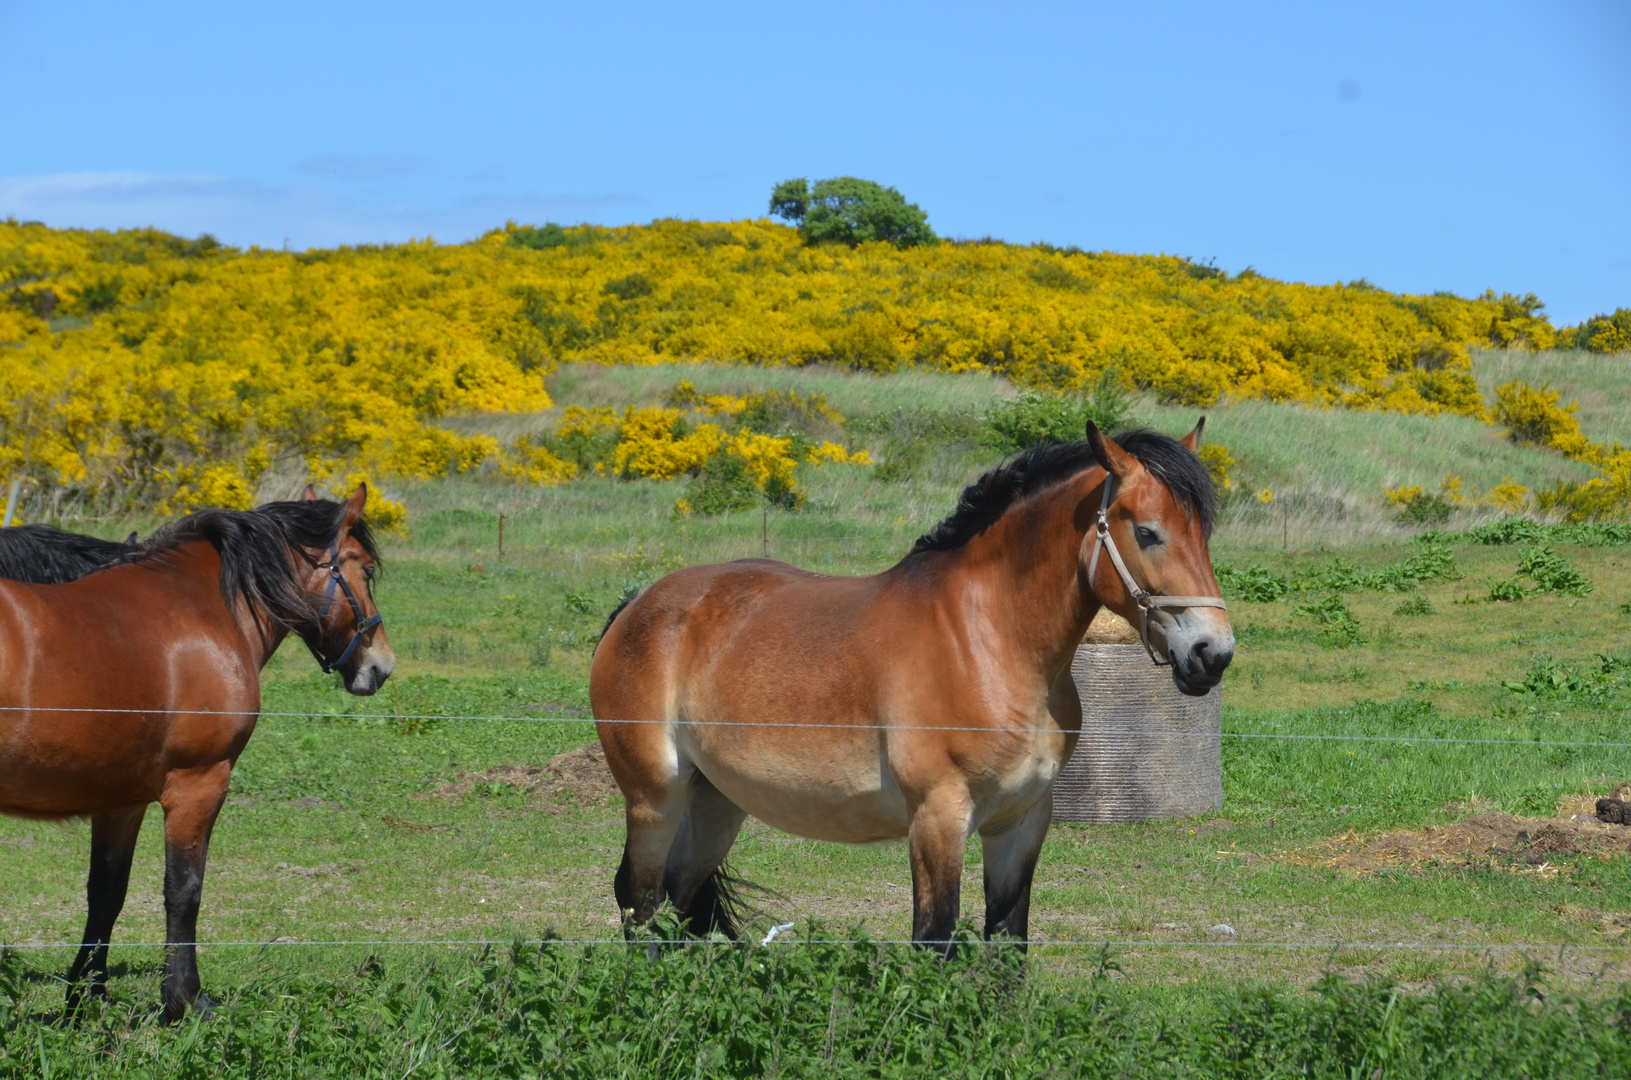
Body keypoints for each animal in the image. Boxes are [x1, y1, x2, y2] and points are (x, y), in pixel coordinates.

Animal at [0, 489, 391, 1024]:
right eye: (365, 570)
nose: (381, 666)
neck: (201, 612)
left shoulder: (121, 802)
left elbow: (106, 893)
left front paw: (87, 998)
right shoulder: (198, 784)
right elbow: (184, 891)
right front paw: (185, 999)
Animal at [593, 417, 1226, 952]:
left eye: (1204, 533)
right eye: (1147, 532)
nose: (1212, 653)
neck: (985, 642)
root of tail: (639, 603)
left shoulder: (1020, 823)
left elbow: (1007, 945)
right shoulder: (939, 818)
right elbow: (934, 938)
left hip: (716, 799)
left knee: (682, 903)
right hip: (655, 796)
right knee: (639, 902)